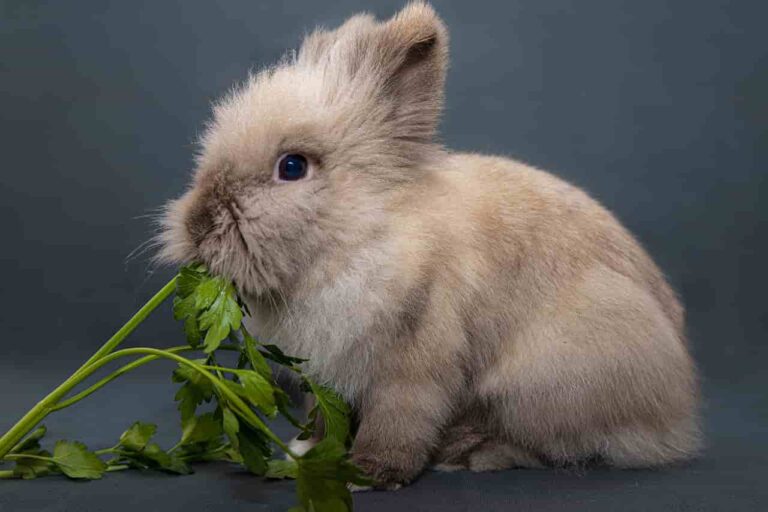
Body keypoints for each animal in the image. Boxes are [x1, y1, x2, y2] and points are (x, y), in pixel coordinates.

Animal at [158, 1, 701, 490]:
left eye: (292, 167)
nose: (198, 225)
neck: (360, 236)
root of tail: (678, 409)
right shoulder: (328, 373)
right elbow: (323, 417)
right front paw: (303, 452)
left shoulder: (415, 362)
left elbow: (399, 421)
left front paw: (369, 474)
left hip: (545, 381)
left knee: (556, 444)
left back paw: (469, 452)